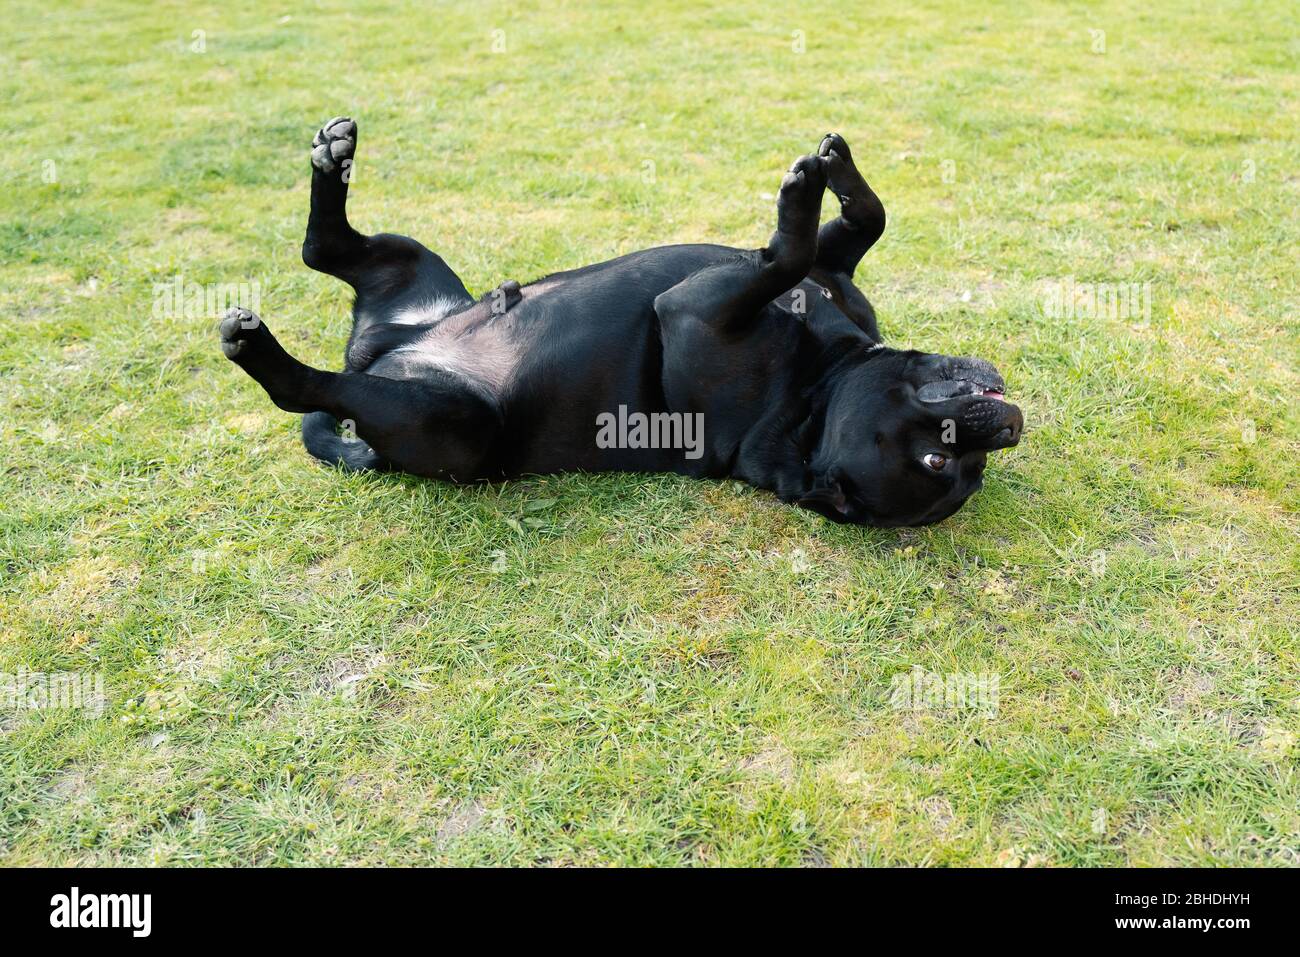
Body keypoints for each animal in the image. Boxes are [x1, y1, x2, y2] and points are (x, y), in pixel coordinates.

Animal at [220, 117, 1024, 530]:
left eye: (944, 465)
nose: (1009, 426)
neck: (815, 399)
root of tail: (379, 356)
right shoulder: (834, 270)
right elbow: (858, 223)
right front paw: (837, 170)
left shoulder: (698, 307)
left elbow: (786, 251)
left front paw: (801, 195)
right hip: (411, 265)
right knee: (324, 248)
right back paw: (334, 158)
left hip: (455, 419)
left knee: (310, 381)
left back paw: (263, 350)